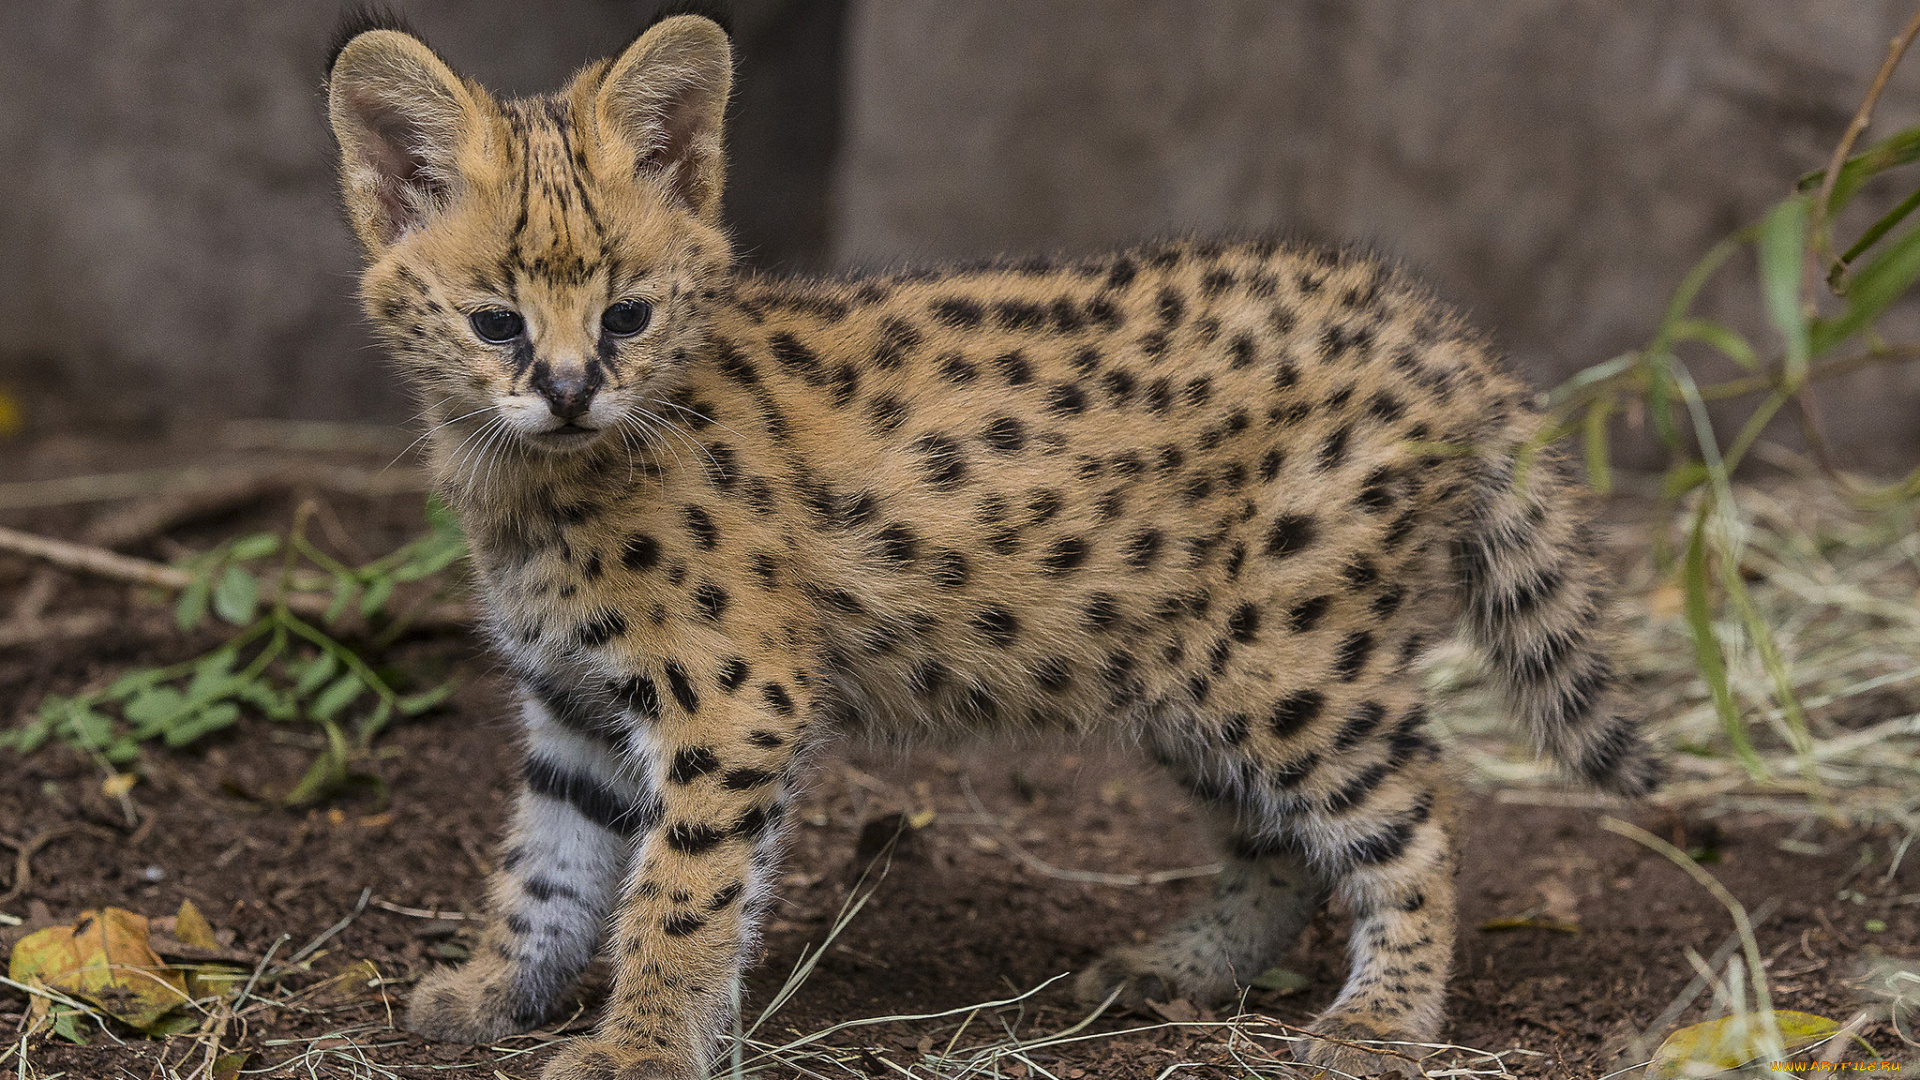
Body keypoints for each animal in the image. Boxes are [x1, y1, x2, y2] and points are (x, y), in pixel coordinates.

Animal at [330, 10, 1666, 1076]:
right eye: (495, 324)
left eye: (627, 316)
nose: (567, 391)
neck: (534, 484)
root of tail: (1428, 325)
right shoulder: (572, 703)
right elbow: (547, 866)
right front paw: (499, 987)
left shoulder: (734, 699)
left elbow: (682, 894)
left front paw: (641, 1046)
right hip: (1187, 673)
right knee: (1278, 846)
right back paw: (1178, 969)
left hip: (1289, 663)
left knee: (1419, 819)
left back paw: (1384, 1020)